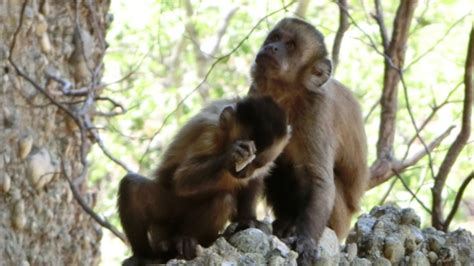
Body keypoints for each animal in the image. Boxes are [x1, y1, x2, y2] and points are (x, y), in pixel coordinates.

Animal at [116, 95, 290, 264]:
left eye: (257, 163)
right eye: (244, 160)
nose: (243, 172)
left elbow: (255, 180)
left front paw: (247, 220)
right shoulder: (209, 132)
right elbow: (182, 180)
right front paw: (231, 154)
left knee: (222, 200)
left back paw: (187, 241)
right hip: (165, 221)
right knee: (131, 186)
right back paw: (146, 256)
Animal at [250, 17, 368, 264]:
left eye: (291, 45)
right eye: (275, 38)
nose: (272, 48)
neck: (287, 96)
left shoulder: (317, 112)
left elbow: (319, 179)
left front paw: (306, 240)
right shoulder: (257, 95)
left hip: (341, 220)